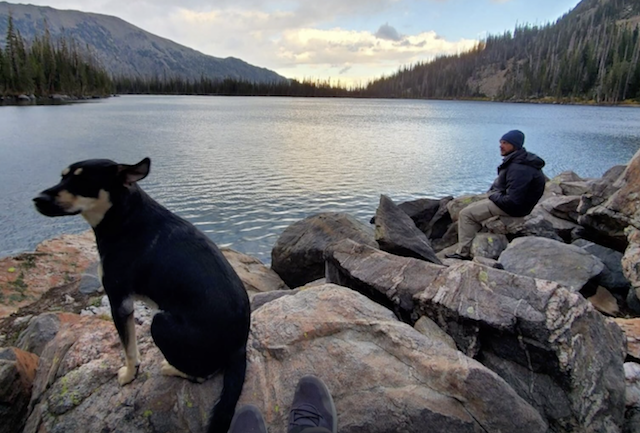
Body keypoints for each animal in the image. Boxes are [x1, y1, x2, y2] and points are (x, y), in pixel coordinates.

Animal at [33, 158, 250, 432]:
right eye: (62, 177)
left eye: (82, 181)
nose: (37, 199)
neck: (125, 217)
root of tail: (239, 347)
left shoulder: (119, 301)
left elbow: (128, 348)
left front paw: (128, 375)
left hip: (160, 323)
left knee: (202, 373)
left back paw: (172, 368)